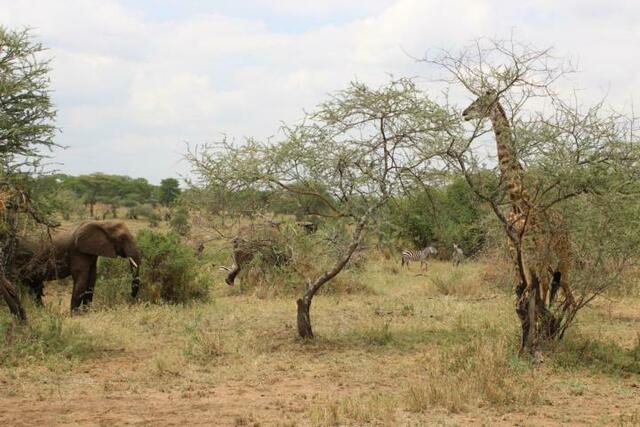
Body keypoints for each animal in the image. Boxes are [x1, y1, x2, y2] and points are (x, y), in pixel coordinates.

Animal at [462, 89, 575, 348]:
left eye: (480, 101)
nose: (464, 113)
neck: (519, 198)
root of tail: (567, 227)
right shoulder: (521, 248)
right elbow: (527, 290)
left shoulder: (532, 250)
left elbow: (535, 290)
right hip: (548, 260)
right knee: (562, 294)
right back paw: (552, 332)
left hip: (561, 255)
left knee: (562, 294)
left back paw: (552, 334)